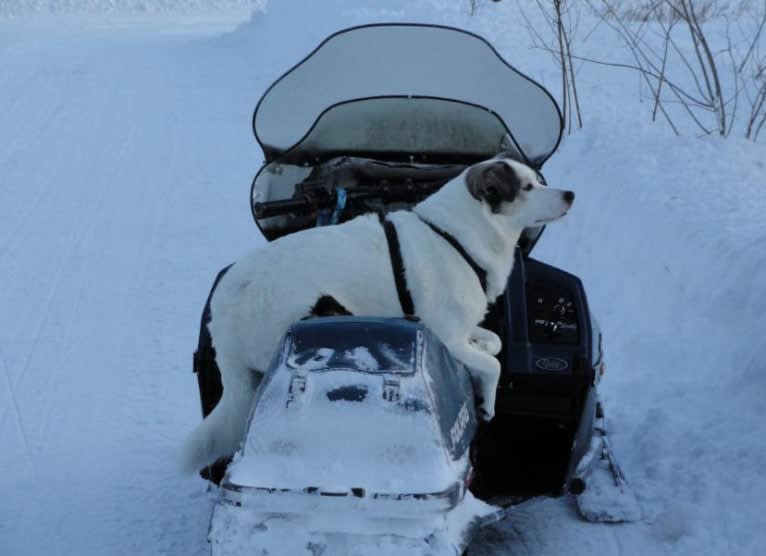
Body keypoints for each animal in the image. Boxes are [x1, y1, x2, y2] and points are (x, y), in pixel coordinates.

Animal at [182, 155, 576, 474]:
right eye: (527, 188)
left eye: (537, 180)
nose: (570, 194)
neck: (457, 237)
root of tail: (223, 318)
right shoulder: (447, 339)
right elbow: (492, 365)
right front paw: (488, 402)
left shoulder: (466, 330)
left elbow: (492, 343)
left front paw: (485, 348)